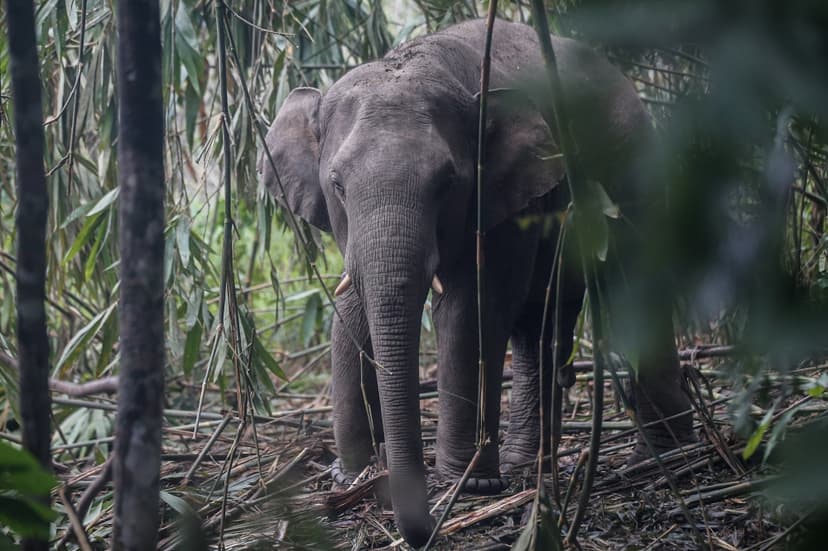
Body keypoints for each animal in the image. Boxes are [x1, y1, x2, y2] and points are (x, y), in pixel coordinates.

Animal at [259, 18, 696, 547]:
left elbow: (473, 308)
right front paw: (351, 479)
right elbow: (353, 309)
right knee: (542, 321)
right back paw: (531, 466)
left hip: (633, 164)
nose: (422, 527)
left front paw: (468, 486)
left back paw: (662, 458)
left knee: (633, 282)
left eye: (447, 182)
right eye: (338, 185)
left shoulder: (504, 196)